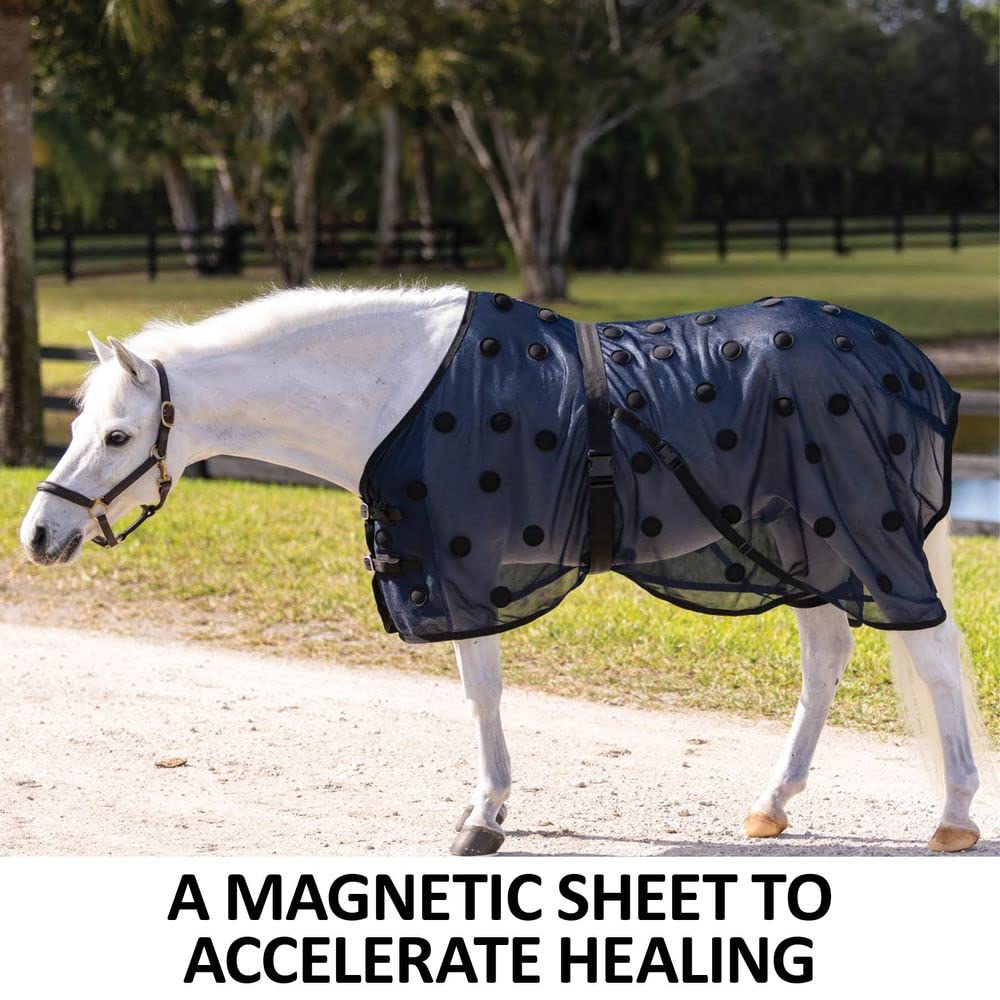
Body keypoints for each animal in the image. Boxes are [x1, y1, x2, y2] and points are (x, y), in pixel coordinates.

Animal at [19, 283, 984, 856]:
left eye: (118, 436)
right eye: (79, 426)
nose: (37, 533)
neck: (398, 394)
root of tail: (905, 359)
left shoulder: (458, 569)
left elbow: (479, 692)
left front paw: (483, 818)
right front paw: (488, 809)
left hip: (856, 534)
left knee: (933, 657)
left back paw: (954, 817)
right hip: (798, 543)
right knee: (827, 657)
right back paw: (772, 805)